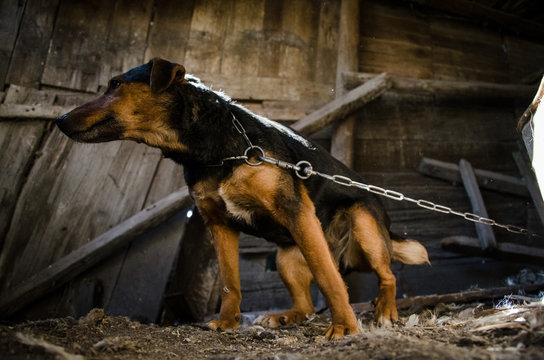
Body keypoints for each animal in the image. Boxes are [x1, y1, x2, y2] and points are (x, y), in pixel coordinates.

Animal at [56, 57, 430, 338]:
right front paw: (226, 322)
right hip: (287, 257)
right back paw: (285, 317)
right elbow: (229, 284)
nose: (59, 119)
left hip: (364, 230)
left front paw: (345, 328)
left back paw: (385, 311)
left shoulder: (297, 212)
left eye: (115, 84)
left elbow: (329, 278)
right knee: (307, 305)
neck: (214, 151)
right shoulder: (219, 225)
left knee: (387, 274)